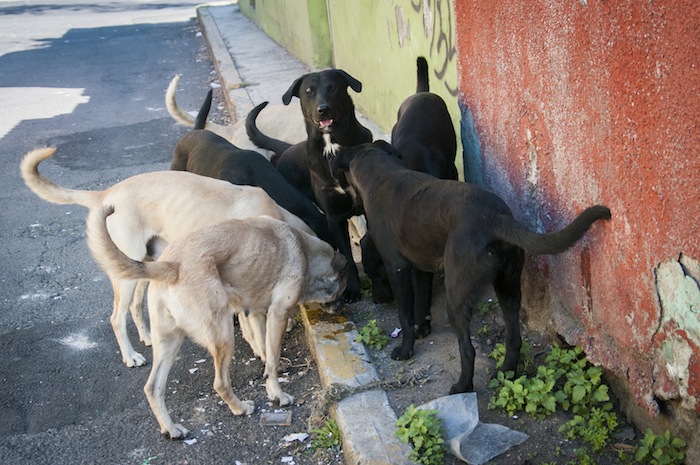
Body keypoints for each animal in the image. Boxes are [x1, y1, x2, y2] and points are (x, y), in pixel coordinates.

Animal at [20, 147, 314, 368]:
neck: (276, 219)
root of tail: (105, 194)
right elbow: (254, 328)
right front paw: (264, 353)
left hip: (143, 267)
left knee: (135, 307)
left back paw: (147, 337)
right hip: (126, 276)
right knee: (117, 318)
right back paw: (130, 356)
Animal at [87, 207, 348, 438]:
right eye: (342, 290)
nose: (341, 308)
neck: (304, 249)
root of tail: (170, 265)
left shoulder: (255, 313)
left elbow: (264, 349)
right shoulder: (277, 314)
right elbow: (272, 360)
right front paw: (277, 393)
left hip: (169, 342)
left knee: (153, 388)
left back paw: (171, 429)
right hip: (223, 336)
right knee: (220, 383)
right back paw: (240, 408)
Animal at [330, 140, 608, 392]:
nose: (377, 300)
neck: (381, 175)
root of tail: (495, 219)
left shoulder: (397, 269)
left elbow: (405, 316)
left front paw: (406, 348)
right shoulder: (421, 268)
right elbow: (421, 304)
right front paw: (422, 329)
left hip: (457, 297)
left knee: (468, 350)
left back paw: (462, 386)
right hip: (508, 287)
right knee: (514, 339)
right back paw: (506, 372)